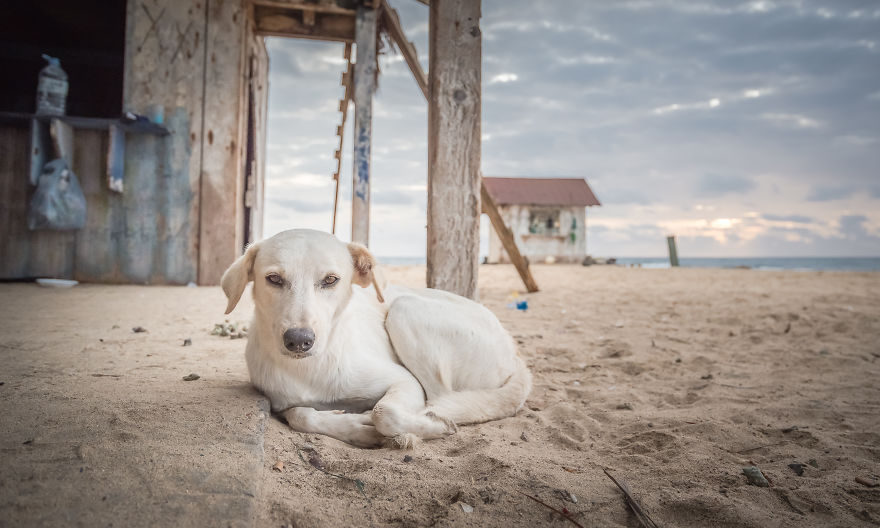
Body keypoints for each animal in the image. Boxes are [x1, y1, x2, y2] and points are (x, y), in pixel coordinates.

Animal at [223, 229, 532, 448]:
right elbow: (300, 414)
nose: (299, 340)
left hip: (405, 310)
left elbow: (384, 412)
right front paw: (354, 427)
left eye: (330, 280)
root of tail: (516, 354)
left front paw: (431, 426)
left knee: (440, 397)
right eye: (274, 279)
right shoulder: (282, 402)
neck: (311, 368)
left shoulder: (405, 381)